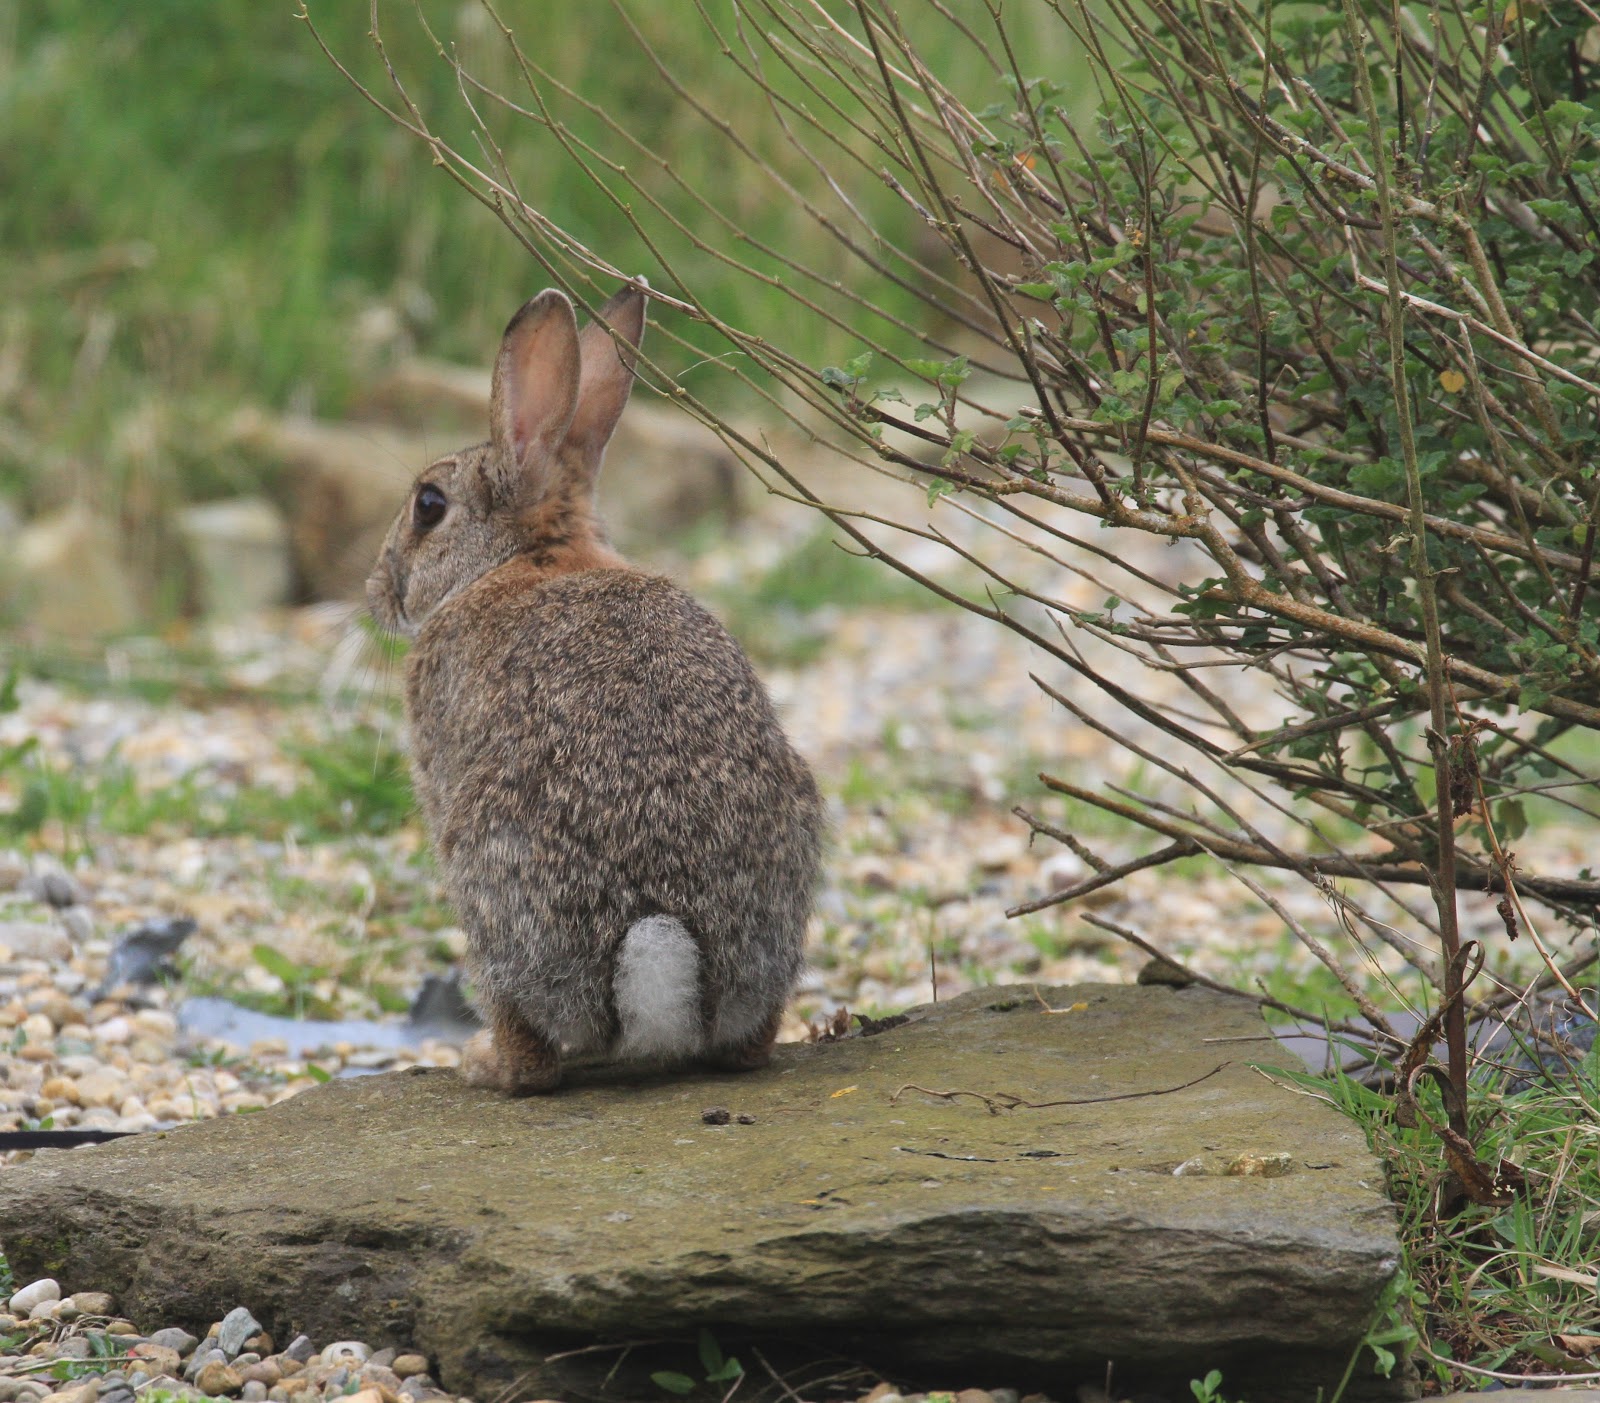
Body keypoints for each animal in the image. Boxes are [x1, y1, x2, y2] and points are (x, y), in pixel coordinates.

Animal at [366, 281, 825, 1094]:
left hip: (483, 883)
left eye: (428, 505)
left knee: (533, 1059)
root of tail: (663, 956)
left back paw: (481, 1062)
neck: (526, 556)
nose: (376, 592)